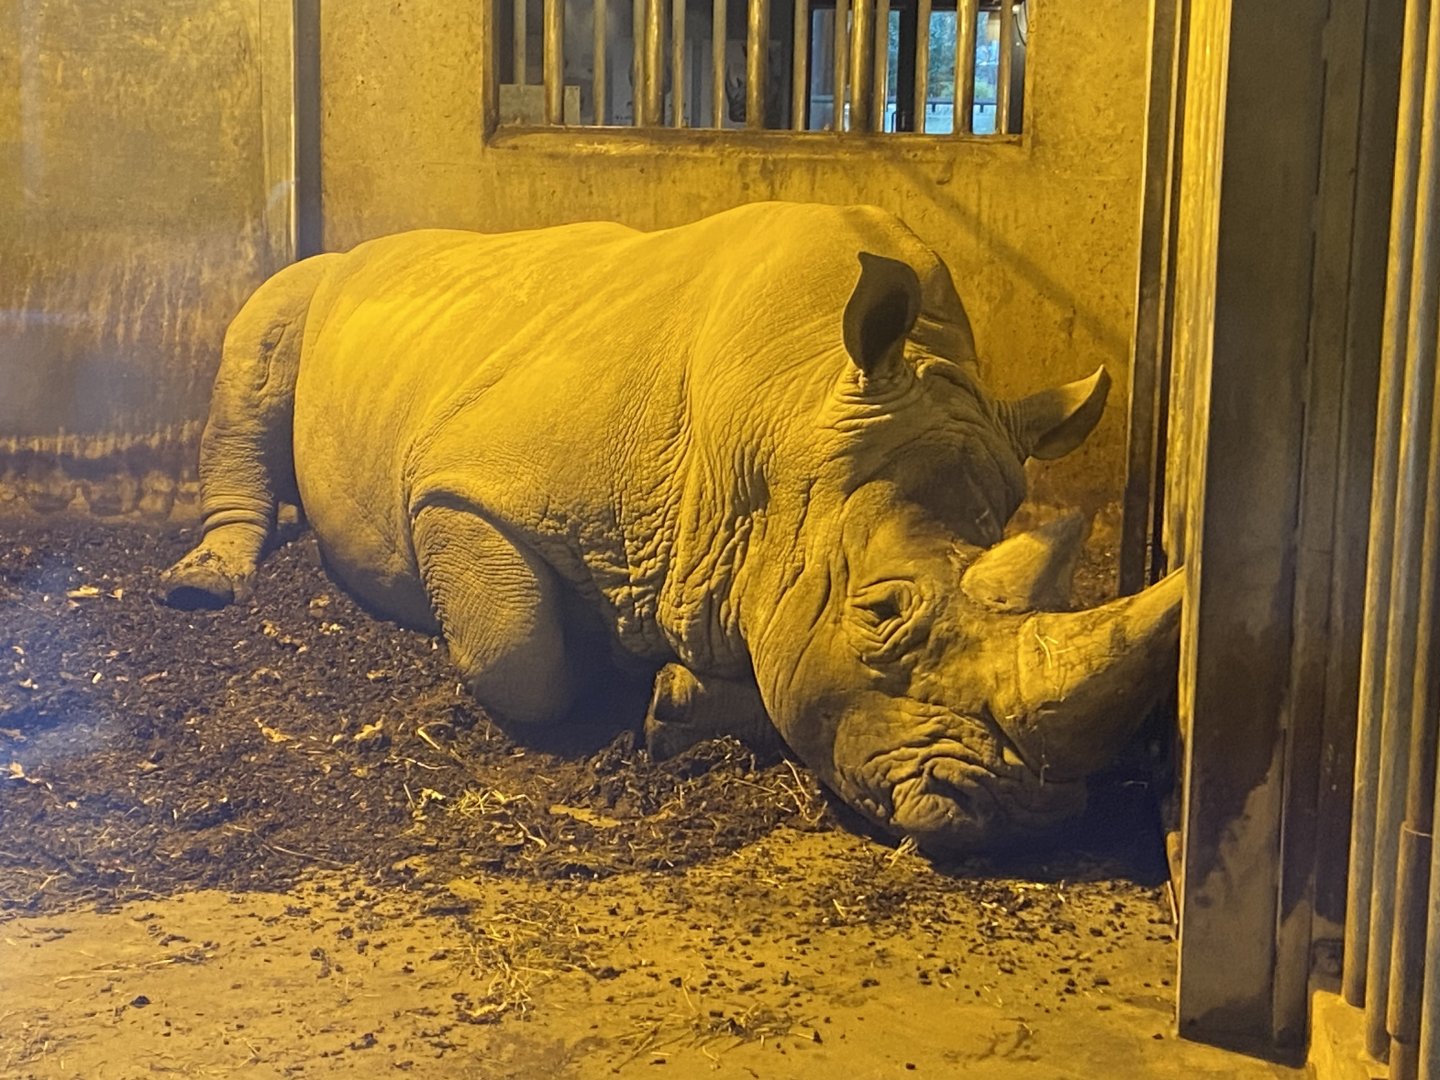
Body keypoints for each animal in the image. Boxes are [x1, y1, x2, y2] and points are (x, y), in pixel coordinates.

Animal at [162, 201, 1182, 853]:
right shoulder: (460, 487)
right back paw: (203, 585)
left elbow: (774, 669)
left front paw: (672, 699)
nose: (1023, 812)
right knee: (261, 338)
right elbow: (518, 653)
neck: (785, 422)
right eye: (883, 612)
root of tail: (365, 246)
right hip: (311, 282)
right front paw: (600, 663)